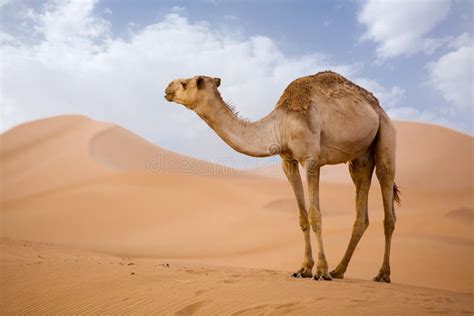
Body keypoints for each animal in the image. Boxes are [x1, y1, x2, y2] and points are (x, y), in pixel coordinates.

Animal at [164, 71, 400, 282]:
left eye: (184, 83)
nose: (167, 88)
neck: (281, 124)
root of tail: (379, 109)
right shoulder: (287, 161)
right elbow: (302, 217)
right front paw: (304, 269)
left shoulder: (311, 160)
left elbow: (315, 215)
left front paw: (320, 271)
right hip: (360, 158)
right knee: (362, 212)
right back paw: (339, 271)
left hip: (386, 137)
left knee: (387, 200)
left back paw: (382, 274)